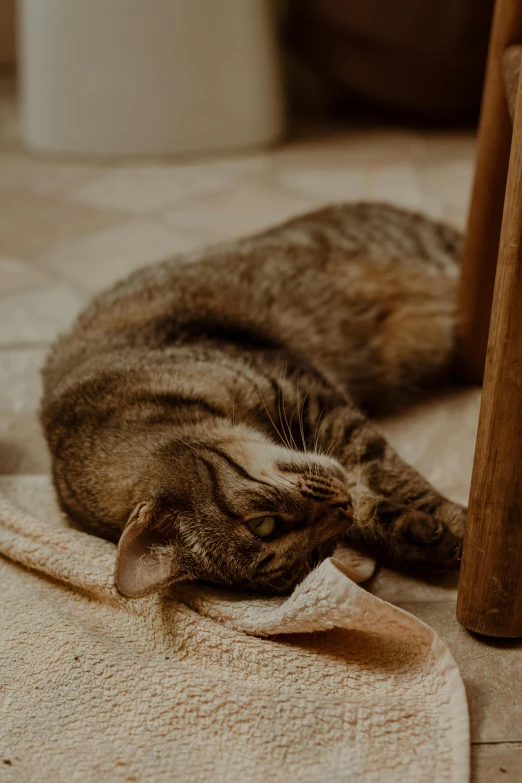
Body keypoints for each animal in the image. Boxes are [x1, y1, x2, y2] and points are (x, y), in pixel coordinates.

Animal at [40, 204, 464, 600]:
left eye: (262, 523)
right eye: (318, 555)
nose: (341, 508)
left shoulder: (314, 399)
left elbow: (395, 473)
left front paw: (460, 522)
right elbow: (371, 504)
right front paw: (421, 534)